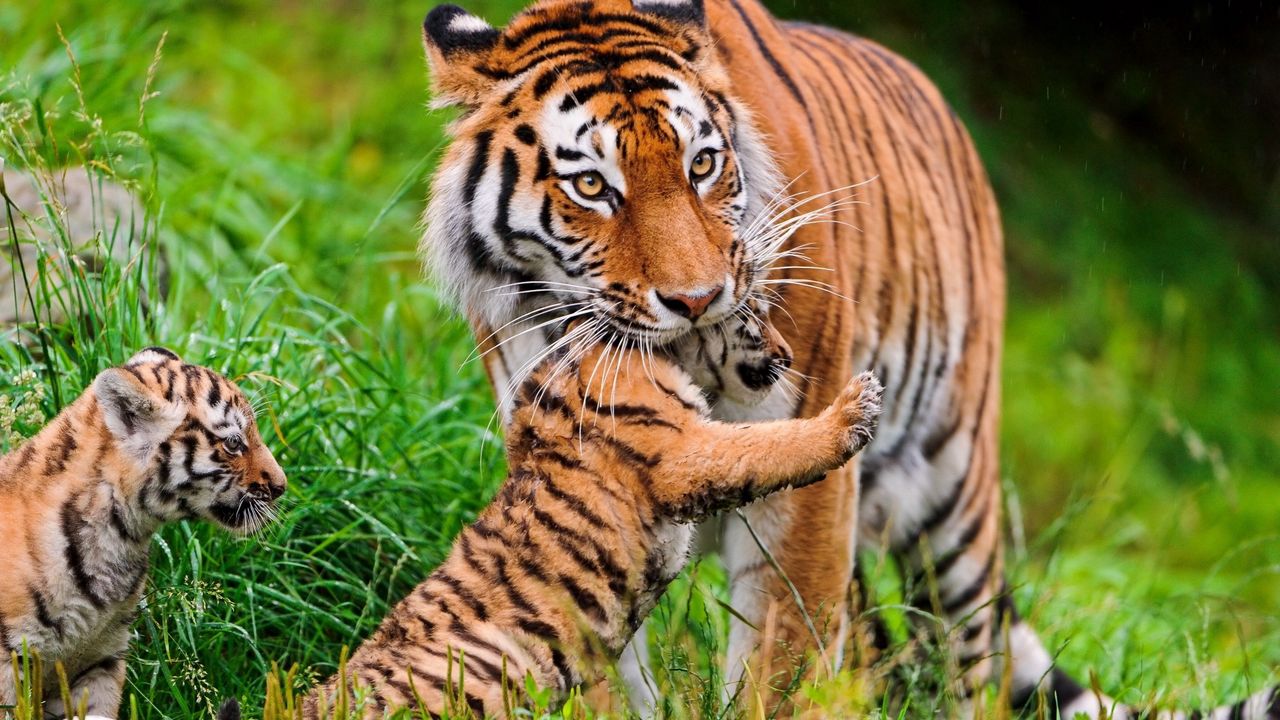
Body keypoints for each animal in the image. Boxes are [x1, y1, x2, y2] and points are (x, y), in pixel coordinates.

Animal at [414, 1, 1274, 712]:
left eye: (701, 165)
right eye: (592, 186)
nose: (696, 298)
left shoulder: (806, 494)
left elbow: (780, 668)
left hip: (955, 501)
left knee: (966, 666)